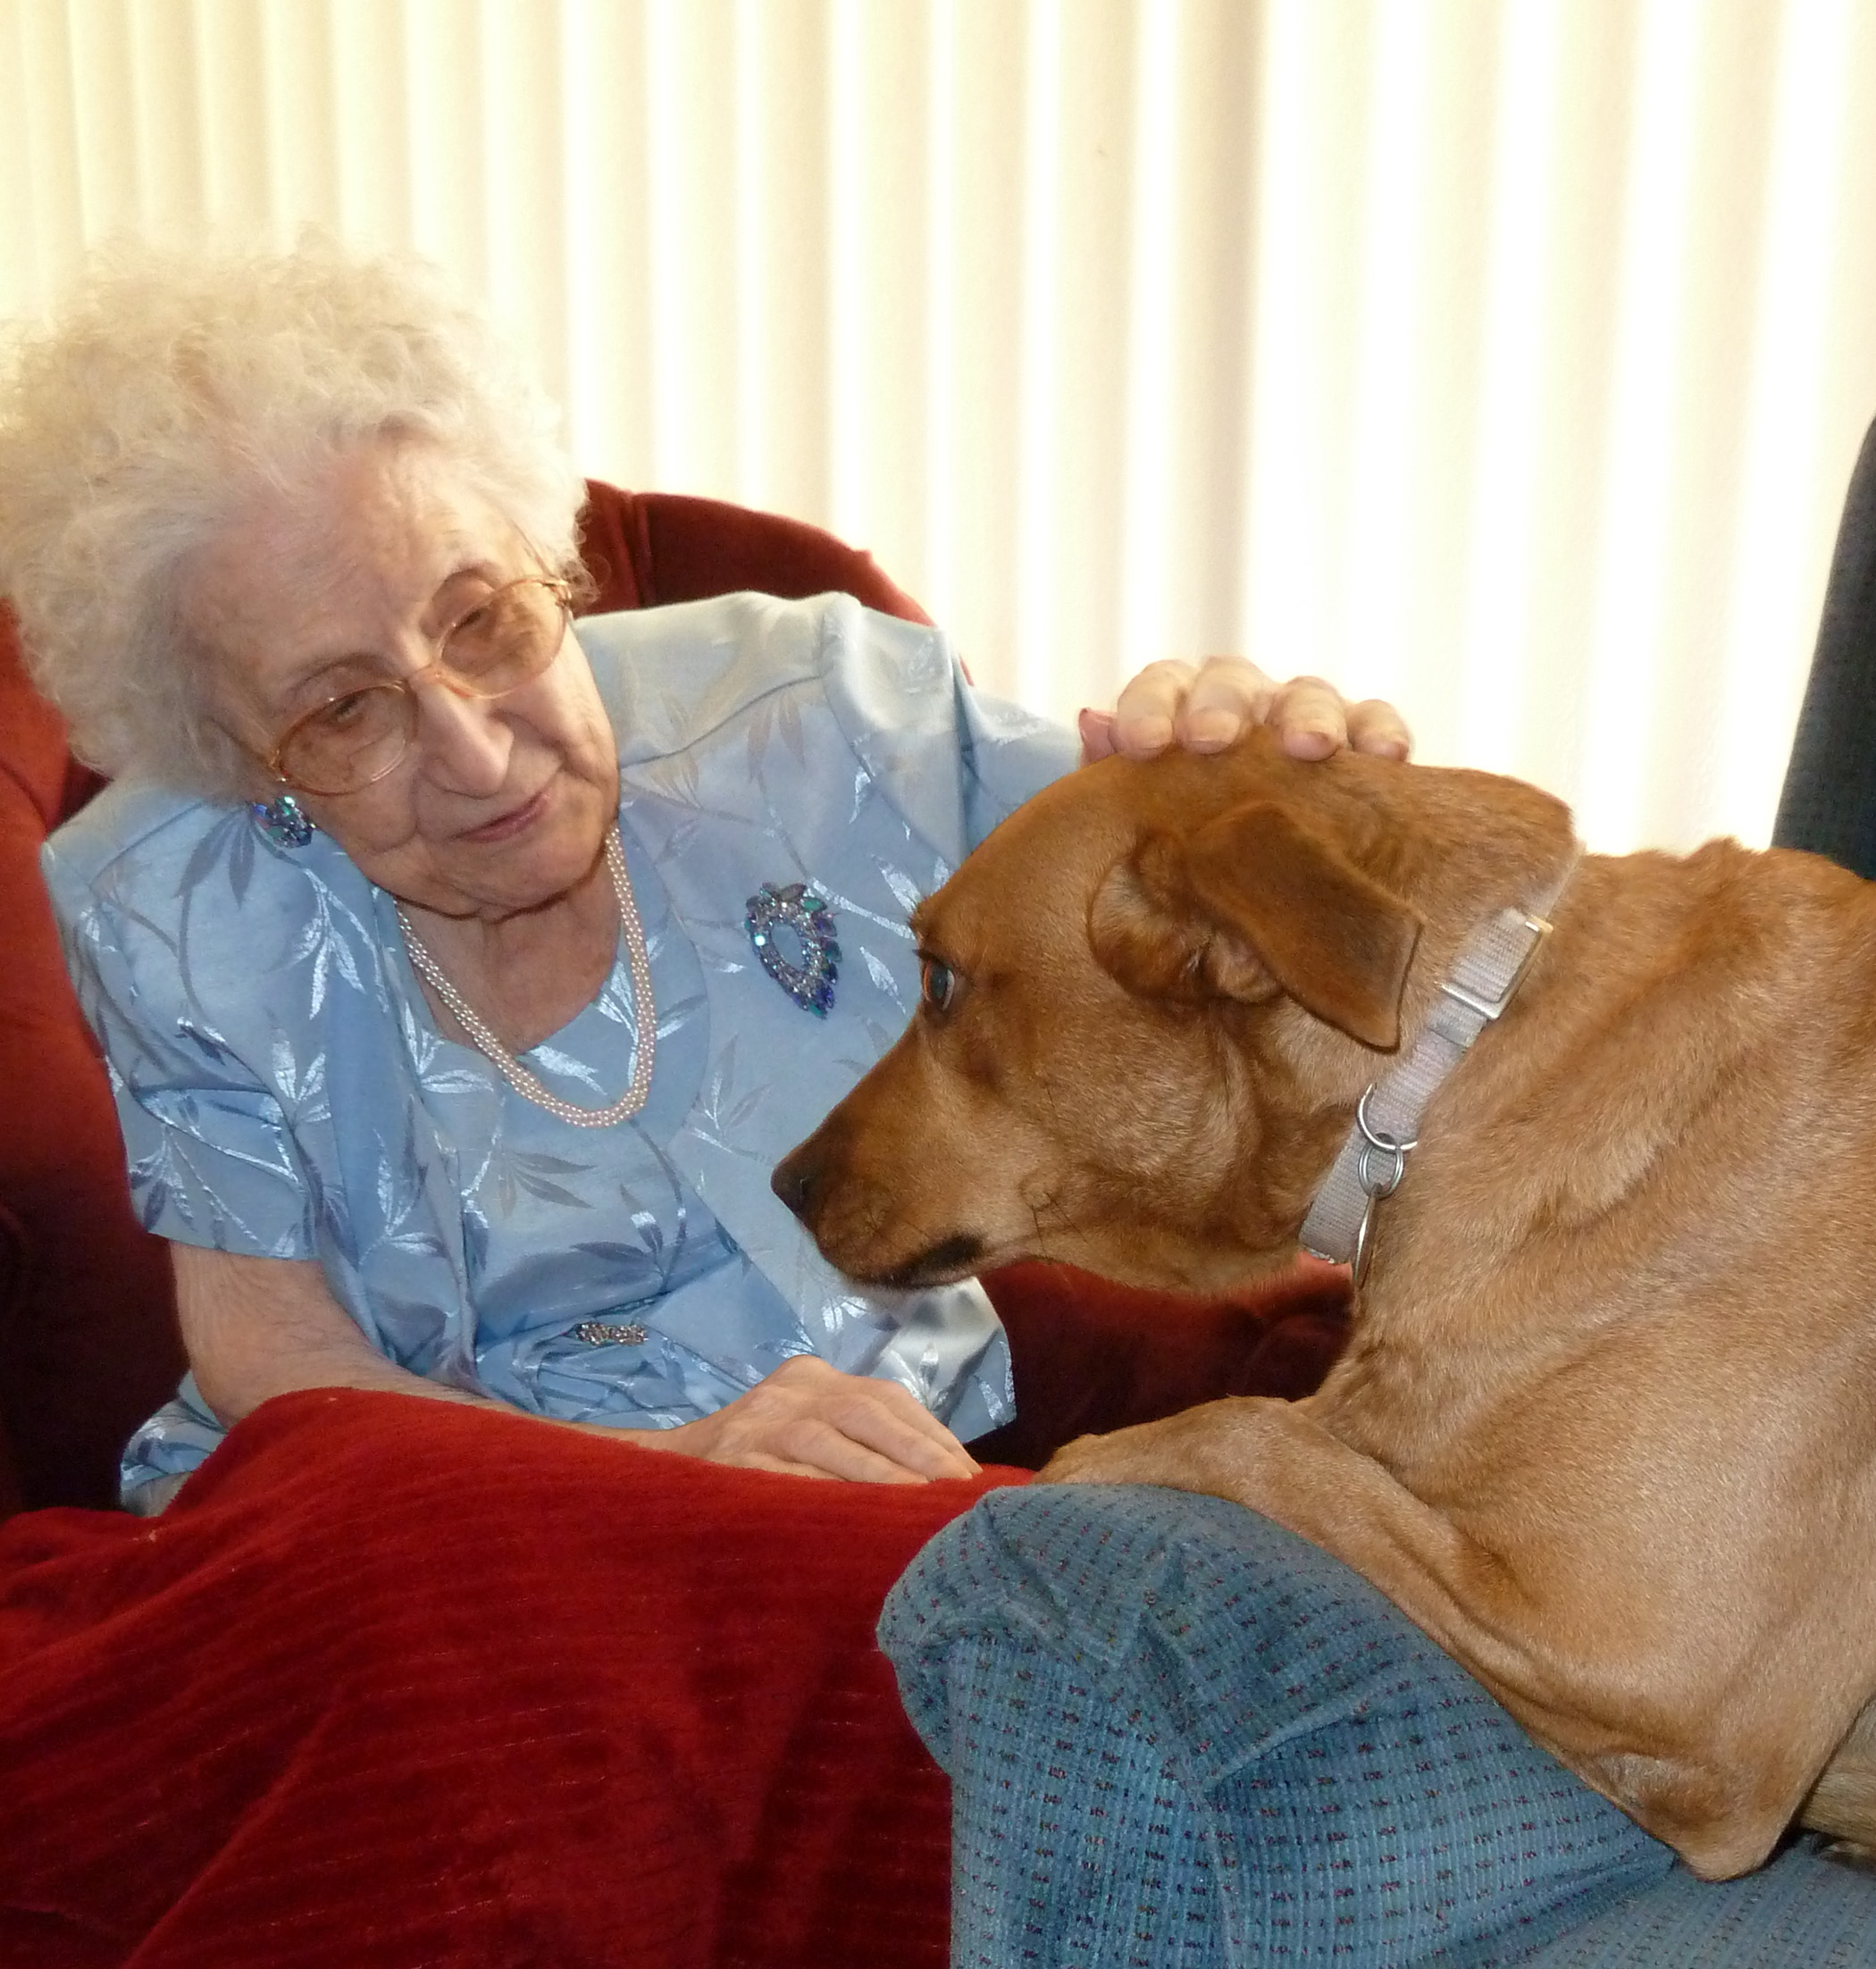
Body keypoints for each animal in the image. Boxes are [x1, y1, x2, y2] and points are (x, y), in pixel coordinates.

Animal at [771, 732, 1873, 1882]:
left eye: (939, 981)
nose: (783, 1181)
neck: (1445, 1076)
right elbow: (1299, 1435)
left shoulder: (1666, 1670)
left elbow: (1260, 1432)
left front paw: (1089, 1459)